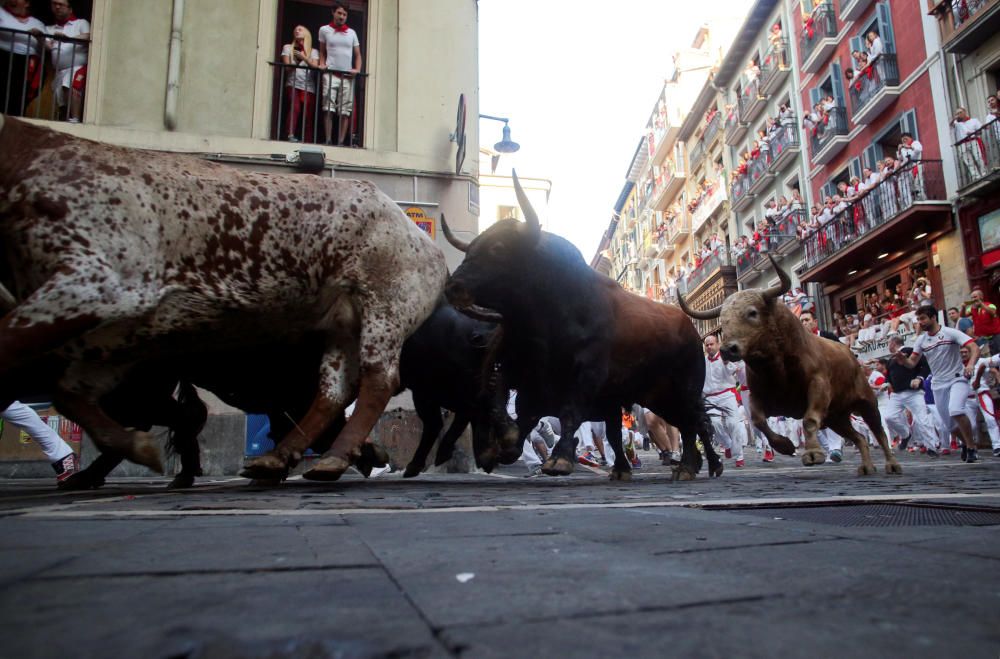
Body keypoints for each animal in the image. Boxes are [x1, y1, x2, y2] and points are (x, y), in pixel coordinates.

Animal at [0, 116, 446, 482]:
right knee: (333, 392)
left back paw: (333, 457)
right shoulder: (114, 338)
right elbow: (68, 393)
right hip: (343, 328)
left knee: (377, 381)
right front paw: (135, 448)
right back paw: (283, 457)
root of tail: (424, 243)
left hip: (385, 310)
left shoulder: (93, 287)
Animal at [440, 171, 720, 480]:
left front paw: (559, 459)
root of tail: (688, 325)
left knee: (694, 423)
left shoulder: (587, 374)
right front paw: (509, 445)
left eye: (498, 248)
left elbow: (570, 412)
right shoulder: (527, 375)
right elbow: (513, 407)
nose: (453, 286)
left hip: (685, 388)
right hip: (657, 396)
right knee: (687, 422)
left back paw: (692, 467)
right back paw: (697, 465)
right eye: (471, 249)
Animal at [676, 255, 904, 476]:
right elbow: (759, 421)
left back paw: (892, 464)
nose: (727, 349)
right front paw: (785, 446)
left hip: (866, 402)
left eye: (752, 313)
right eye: (722, 320)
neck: (776, 369)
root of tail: (850, 354)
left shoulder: (818, 387)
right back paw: (866, 466)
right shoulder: (760, 398)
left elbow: (809, 420)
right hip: (836, 416)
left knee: (878, 431)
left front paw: (812, 453)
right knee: (859, 437)